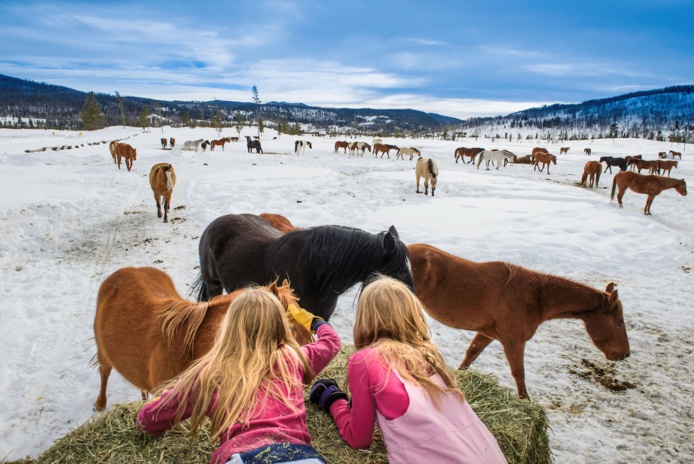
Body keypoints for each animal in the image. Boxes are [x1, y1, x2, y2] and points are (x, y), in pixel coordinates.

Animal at [94, 266, 312, 412]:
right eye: (290, 326)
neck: (186, 347)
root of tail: (125, 271)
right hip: (103, 353)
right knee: (104, 372)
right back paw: (100, 403)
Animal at [408, 243, 632, 398]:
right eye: (618, 322)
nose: (625, 354)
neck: (536, 297)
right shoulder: (513, 341)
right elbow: (519, 374)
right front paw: (525, 401)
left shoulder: (487, 334)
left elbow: (470, 356)